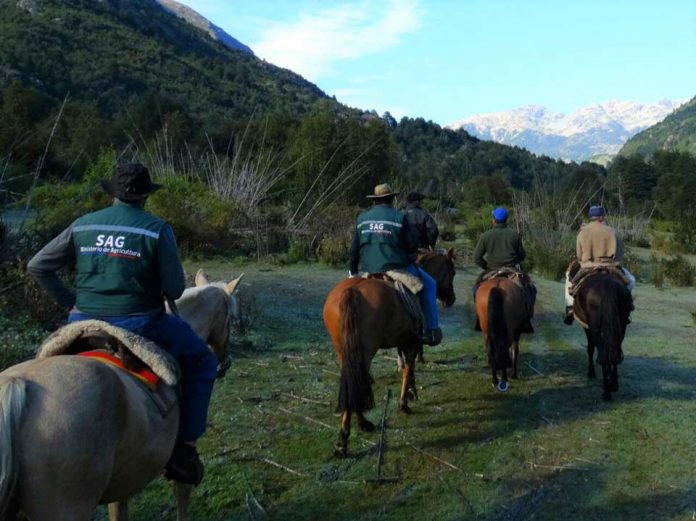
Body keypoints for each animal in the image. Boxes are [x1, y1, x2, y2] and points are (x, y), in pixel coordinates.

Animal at [322, 248, 456, 456]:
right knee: (359, 381)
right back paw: (345, 438)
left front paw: (410, 393)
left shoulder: (402, 340)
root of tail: (352, 291)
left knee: (353, 382)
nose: (451, 299)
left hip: (344, 352)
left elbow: (405, 366)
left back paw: (360, 425)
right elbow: (408, 369)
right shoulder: (411, 342)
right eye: (452, 271)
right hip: (365, 352)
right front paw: (405, 402)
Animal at [572, 270, 632, 400]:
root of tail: (607, 286)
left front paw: (591, 372)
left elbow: (590, 348)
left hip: (595, 328)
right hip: (621, 326)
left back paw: (606, 392)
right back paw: (613, 384)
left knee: (602, 351)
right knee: (615, 351)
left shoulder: (587, 327)